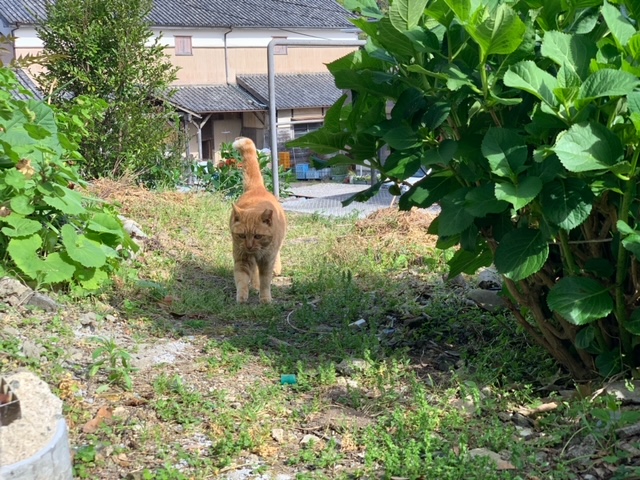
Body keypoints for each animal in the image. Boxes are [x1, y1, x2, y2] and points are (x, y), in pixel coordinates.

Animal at [230, 137, 284, 302]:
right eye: (242, 235)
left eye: (258, 236)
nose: (248, 245)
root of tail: (257, 188)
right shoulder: (242, 258)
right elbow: (242, 279)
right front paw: (242, 296)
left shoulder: (267, 261)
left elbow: (265, 281)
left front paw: (265, 299)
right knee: (253, 272)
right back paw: (254, 286)